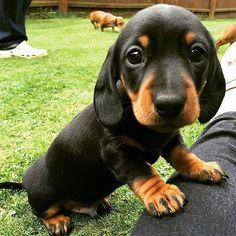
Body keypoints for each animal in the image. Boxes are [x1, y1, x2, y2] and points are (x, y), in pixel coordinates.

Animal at [0, 4, 227, 236]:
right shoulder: (116, 150)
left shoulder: (170, 138)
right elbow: (143, 171)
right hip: (43, 195)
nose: (169, 104)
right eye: (134, 55)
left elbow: (182, 153)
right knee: (42, 212)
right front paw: (162, 194)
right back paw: (57, 221)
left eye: (196, 53)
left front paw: (202, 167)